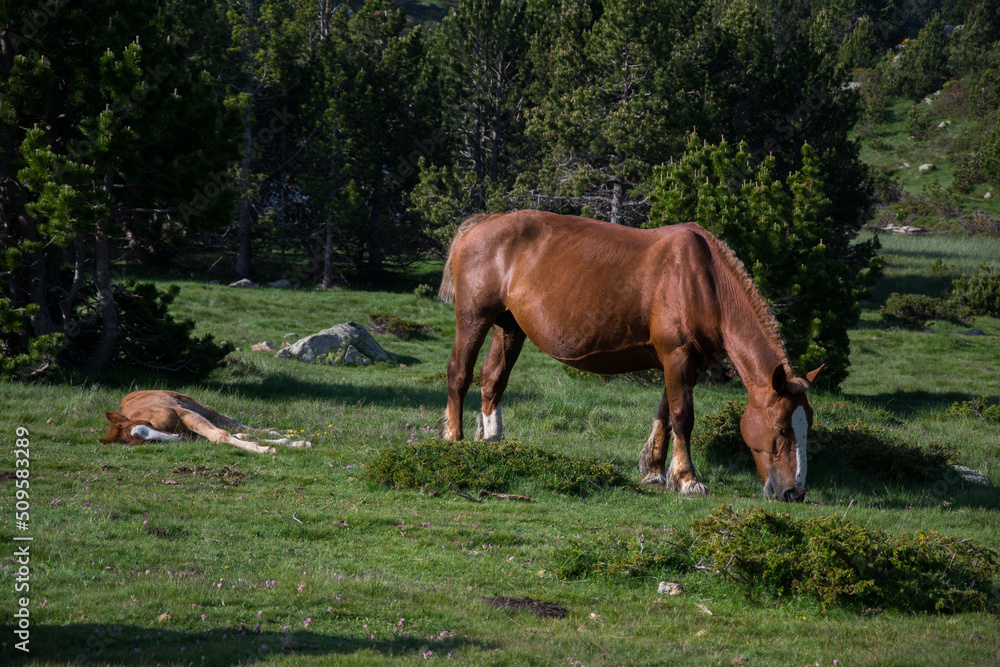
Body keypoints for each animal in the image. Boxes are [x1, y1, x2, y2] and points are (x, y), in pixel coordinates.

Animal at [100, 390, 311, 454]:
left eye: (148, 426)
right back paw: (292, 441)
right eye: (148, 441)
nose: (179, 438)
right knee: (240, 431)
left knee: (234, 424)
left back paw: (285, 435)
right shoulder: (192, 433)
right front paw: (264, 447)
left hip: (202, 408)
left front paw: (264, 449)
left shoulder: (186, 414)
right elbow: (231, 437)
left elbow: (220, 435)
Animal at [438, 210, 822, 502]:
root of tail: (482, 222)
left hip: (508, 327)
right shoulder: (676, 356)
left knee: (493, 379)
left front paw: (654, 472)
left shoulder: (684, 363)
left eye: (807, 424)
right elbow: (682, 417)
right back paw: (453, 439)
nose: (795, 493)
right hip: (473, 320)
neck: (703, 281)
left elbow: (666, 414)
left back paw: (492, 441)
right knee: (459, 373)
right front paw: (688, 480)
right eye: (781, 428)